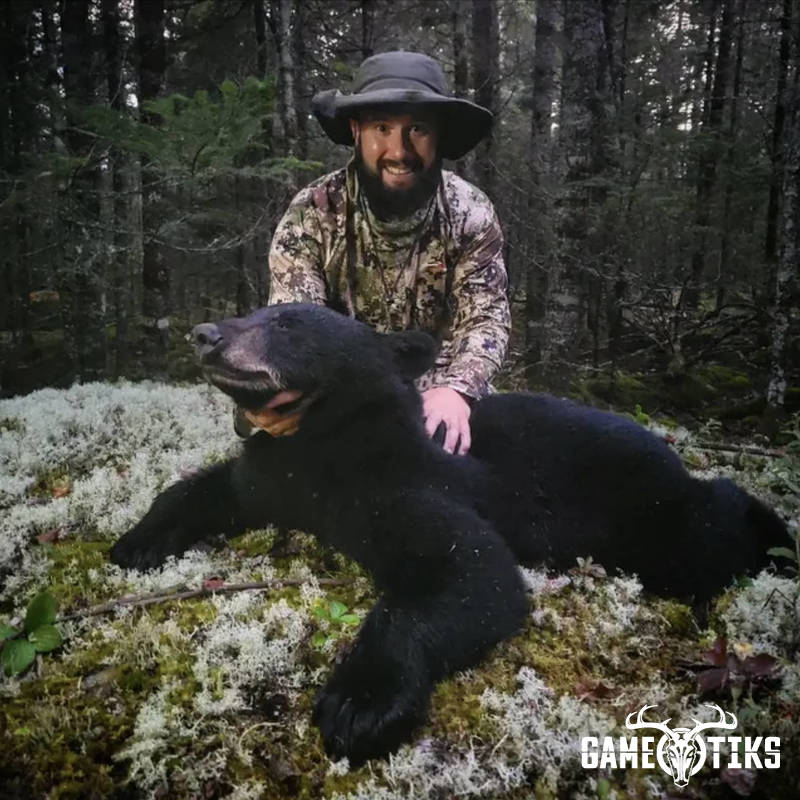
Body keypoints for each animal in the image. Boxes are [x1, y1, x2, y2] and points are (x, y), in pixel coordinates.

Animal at [110, 303, 787, 766]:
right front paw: (136, 541)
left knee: (712, 526)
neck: (323, 447)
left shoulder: (407, 483)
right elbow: (202, 489)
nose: (206, 335)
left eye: (288, 322)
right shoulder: (272, 477)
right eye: (253, 309)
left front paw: (361, 703)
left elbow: (470, 571)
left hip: (647, 512)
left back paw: (776, 533)